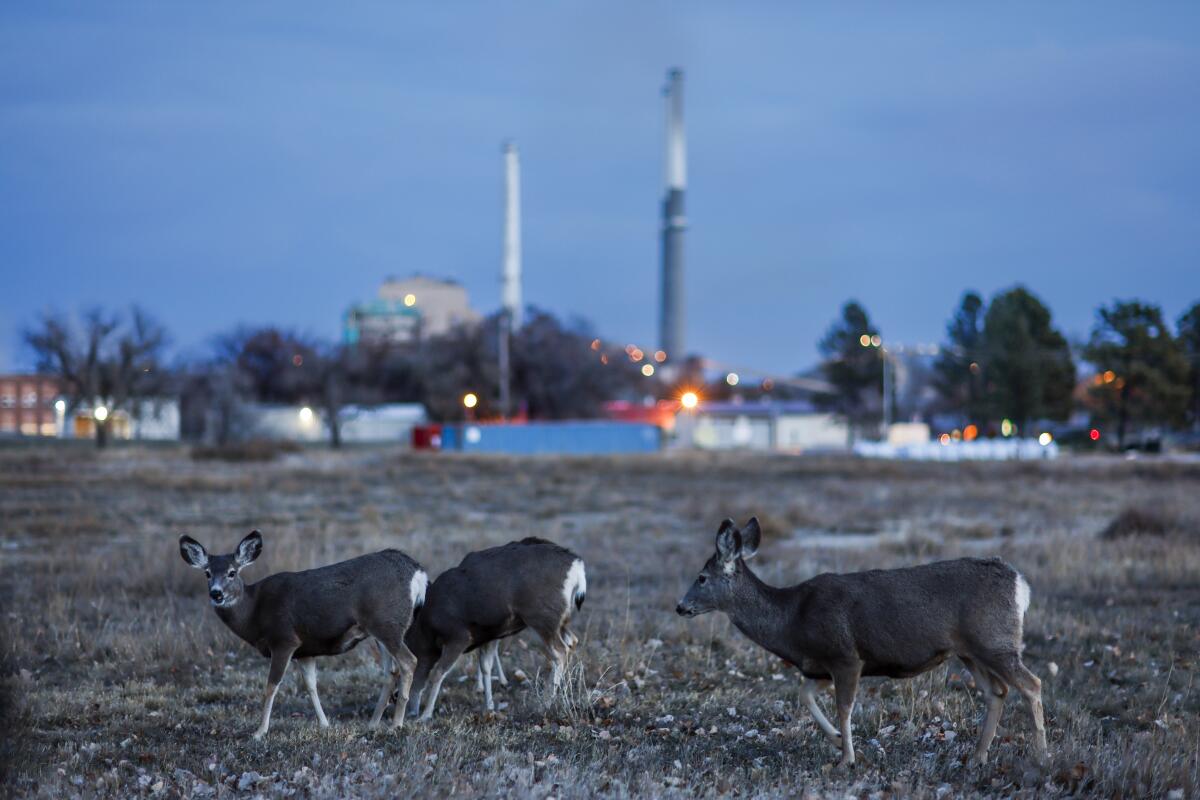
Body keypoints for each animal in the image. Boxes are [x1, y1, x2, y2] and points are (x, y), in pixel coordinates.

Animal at [175, 532, 424, 738]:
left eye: (231, 572)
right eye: (207, 573)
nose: (216, 594)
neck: (254, 611)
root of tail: (416, 572)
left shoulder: (284, 639)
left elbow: (271, 685)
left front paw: (259, 732)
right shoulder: (306, 650)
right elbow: (311, 685)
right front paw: (324, 724)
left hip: (387, 624)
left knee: (409, 661)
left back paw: (396, 725)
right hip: (379, 631)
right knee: (390, 672)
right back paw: (373, 724)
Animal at [405, 537, 588, 719]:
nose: (410, 711)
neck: (426, 627)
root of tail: (577, 567)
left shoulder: (458, 636)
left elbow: (437, 673)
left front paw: (426, 715)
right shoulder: (487, 635)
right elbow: (486, 666)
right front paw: (489, 706)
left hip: (543, 616)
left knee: (560, 651)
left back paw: (546, 702)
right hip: (560, 618)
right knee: (572, 641)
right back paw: (564, 692)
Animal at [681, 520, 1046, 767]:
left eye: (701, 578)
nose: (680, 607)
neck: (792, 619)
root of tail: (1021, 584)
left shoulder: (846, 656)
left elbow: (844, 707)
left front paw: (847, 758)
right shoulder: (822, 665)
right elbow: (804, 694)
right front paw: (835, 740)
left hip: (995, 641)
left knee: (1032, 684)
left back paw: (1040, 754)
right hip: (970, 650)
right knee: (997, 692)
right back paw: (978, 756)